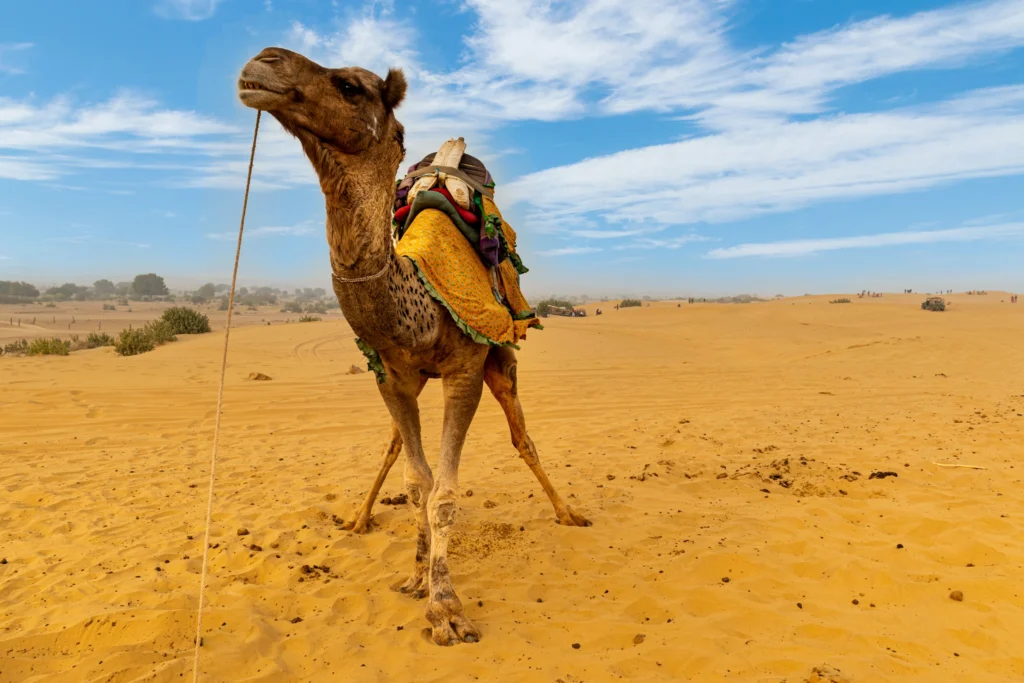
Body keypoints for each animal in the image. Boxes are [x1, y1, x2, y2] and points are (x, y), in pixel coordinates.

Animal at [237, 47, 589, 645]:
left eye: (351, 86)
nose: (262, 61)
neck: (417, 301)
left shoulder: (465, 371)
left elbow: (444, 494)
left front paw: (446, 608)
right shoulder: (392, 377)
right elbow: (417, 481)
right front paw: (417, 577)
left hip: (501, 358)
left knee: (523, 437)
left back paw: (568, 513)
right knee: (396, 447)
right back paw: (359, 520)